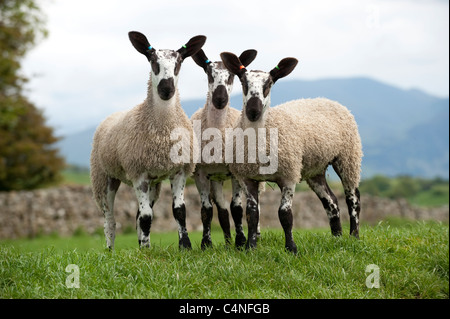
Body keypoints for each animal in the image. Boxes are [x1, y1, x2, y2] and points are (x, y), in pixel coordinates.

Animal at [91, 31, 206, 250]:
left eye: (179, 62)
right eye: (153, 61)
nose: (166, 89)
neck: (162, 131)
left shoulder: (179, 170)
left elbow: (179, 211)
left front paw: (185, 246)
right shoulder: (138, 173)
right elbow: (146, 217)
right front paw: (145, 250)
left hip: (154, 182)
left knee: (138, 215)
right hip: (104, 176)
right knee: (110, 219)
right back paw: (110, 250)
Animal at [189, 48, 256, 250]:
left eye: (232, 75)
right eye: (209, 73)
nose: (220, 99)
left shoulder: (235, 172)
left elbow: (237, 208)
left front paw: (241, 242)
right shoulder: (200, 173)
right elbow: (207, 210)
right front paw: (206, 244)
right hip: (216, 178)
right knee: (222, 210)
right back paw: (226, 243)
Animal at [220, 51, 364, 254]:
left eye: (269, 84)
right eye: (244, 82)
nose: (253, 111)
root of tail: (327, 99)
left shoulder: (288, 175)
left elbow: (285, 214)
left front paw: (291, 249)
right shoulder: (248, 178)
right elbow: (252, 214)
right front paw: (250, 248)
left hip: (348, 156)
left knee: (353, 197)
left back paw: (354, 236)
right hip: (315, 169)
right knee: (331, 201)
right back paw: (337, 237)